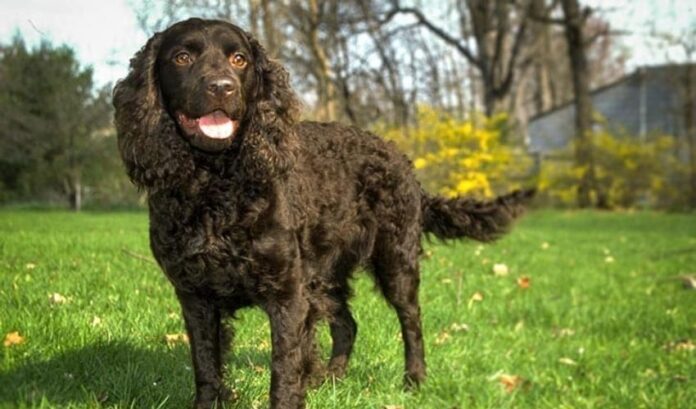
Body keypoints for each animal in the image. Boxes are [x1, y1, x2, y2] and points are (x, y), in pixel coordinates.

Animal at [113, 16, 532, 408]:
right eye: (182, 57)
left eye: (239, 59)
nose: (221, 86)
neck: (216, 187)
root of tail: (401, 159)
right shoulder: (195, 296)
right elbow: (207, 368)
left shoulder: (287, 295)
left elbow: (284, 371)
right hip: (323, 277)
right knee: (347, 324)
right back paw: (329, 378)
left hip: (395, 261)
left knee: (411, 321)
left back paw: (413, 380)